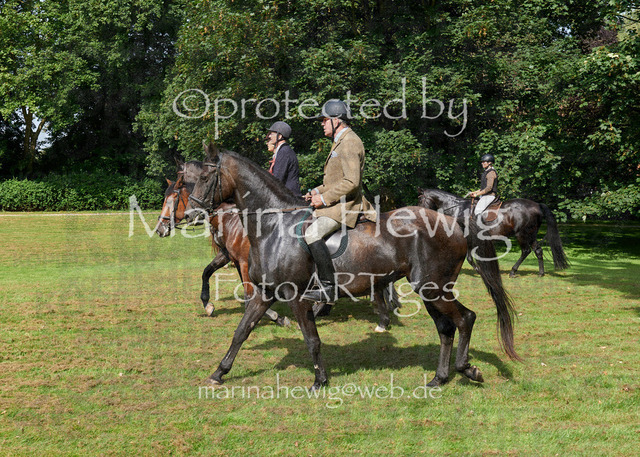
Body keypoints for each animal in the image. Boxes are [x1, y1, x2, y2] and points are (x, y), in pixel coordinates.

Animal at [155, 161, 290, 326]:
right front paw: (207, 305)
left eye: (172, 198)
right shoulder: (230, 256)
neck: (229, 218)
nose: (159, 229)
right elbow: (207, 272)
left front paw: (273, 315)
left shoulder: (245, 262)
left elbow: (250, 293)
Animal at [186, 143, 520, 390]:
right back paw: (439, 378)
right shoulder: (264, 293)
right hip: (429, 291)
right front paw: (219, 373)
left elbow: (312, 340)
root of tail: (452, 222)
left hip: (433, 288)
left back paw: (467, 370)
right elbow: (241, 331)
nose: (190, 214)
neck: (274, 227)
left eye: (204, 179)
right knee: (446, 328)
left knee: (465, 319)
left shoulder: (296, 297)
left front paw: (319, 381)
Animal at [418, 189, 569, 278]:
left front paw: (479, 271)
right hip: (531, 235)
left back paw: (513, 271)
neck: (457, 209)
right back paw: (541, 273)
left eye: (420, 199)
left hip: (522, 235)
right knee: (538, 250)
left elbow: (469, 258)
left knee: (526, 251)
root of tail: (537, 205)